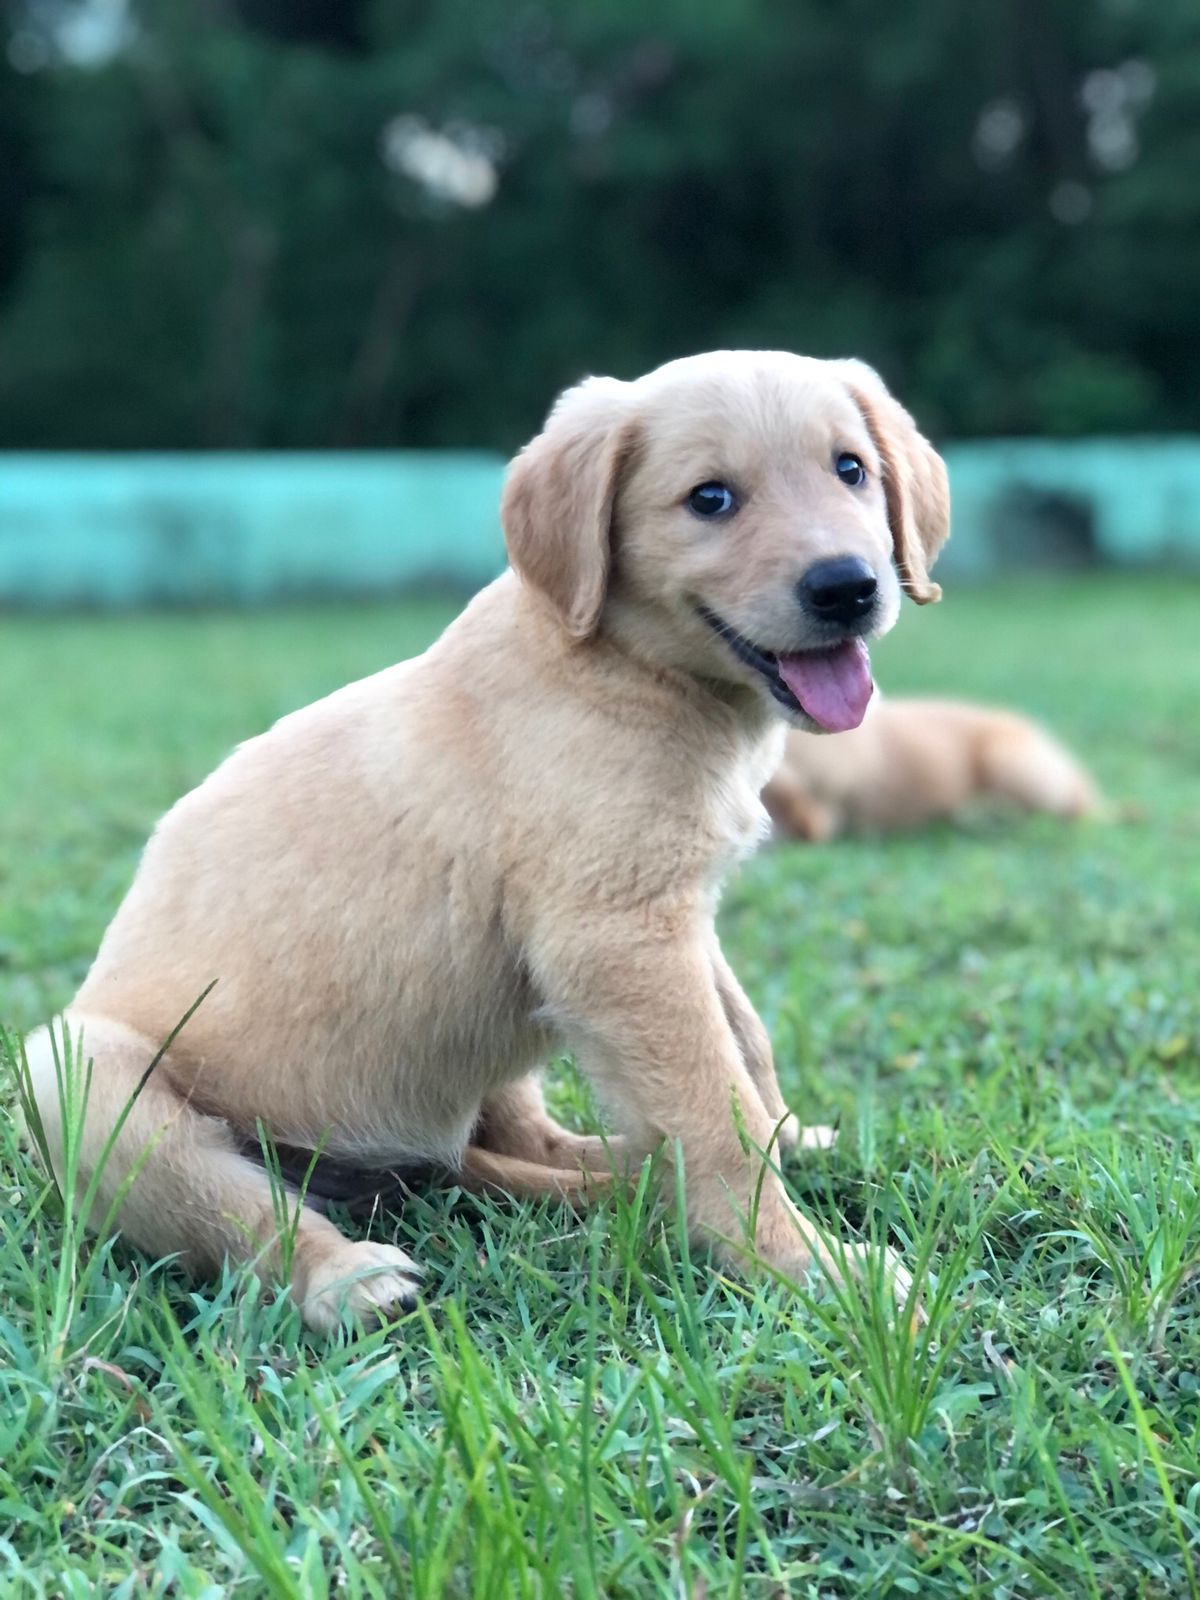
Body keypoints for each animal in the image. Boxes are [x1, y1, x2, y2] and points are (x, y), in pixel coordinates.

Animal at [23, 353, 947, 1337]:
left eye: (851, 470)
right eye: (710, 499)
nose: (848, 586)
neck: (621, 664)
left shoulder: (671, 920)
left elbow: (747, 1044)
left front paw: (790, 1140)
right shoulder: (618, 937)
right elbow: (713, 1106)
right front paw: (804, 1262)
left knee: (517, 1140)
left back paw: (622, 1173)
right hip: (76, 1076)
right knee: (247, 1207)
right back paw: (349, 1277)